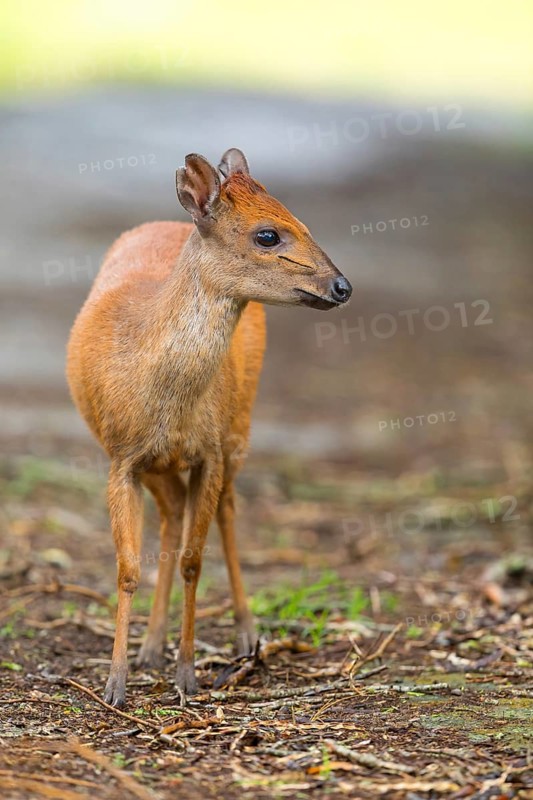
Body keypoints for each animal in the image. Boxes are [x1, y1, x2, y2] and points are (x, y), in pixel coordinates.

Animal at [66, 148, 352, 707]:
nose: (342, 286)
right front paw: (115, 684)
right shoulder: (122, 457)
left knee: (227, 511)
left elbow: (195, 561)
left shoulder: (209, 453)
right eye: (269, 234)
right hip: (158, 463)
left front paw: (187, 675)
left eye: (304, 221)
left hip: (239, 427)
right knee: (173, 515)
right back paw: (150, 646)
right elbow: (128, 567)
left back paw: (244, 634)